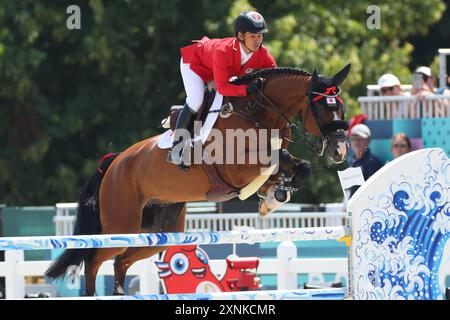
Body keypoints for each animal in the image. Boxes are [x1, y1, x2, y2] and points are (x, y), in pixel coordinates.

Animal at [47, 64, 354, 296]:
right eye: (323, 108)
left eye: (341, 107)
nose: (340, 151)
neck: (257, 111)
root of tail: (115, 161)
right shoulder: (237, 168)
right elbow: (271, 162)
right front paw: (269, 194)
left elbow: (299, 167)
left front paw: (273, 197)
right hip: (121, 224)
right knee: (94, 259)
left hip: (158, 234)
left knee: (121, 262)